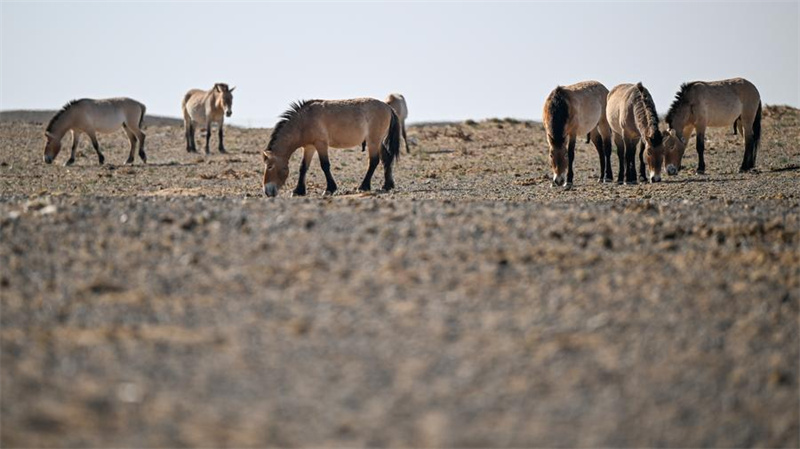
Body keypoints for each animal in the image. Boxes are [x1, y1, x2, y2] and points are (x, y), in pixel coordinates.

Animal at [262, 98, 401, 197]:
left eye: (270, 166)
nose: (267, 192)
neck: (304, 120)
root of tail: (388, 107)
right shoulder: (309, 147)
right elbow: (303, 168)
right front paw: (298, 190)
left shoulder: (321, 144)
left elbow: (325, 165)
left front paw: (330, 189)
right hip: (378, 142)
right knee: (386, 159)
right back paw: (387, 185)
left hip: (373, 142)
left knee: (374, 161)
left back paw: (364, 186)